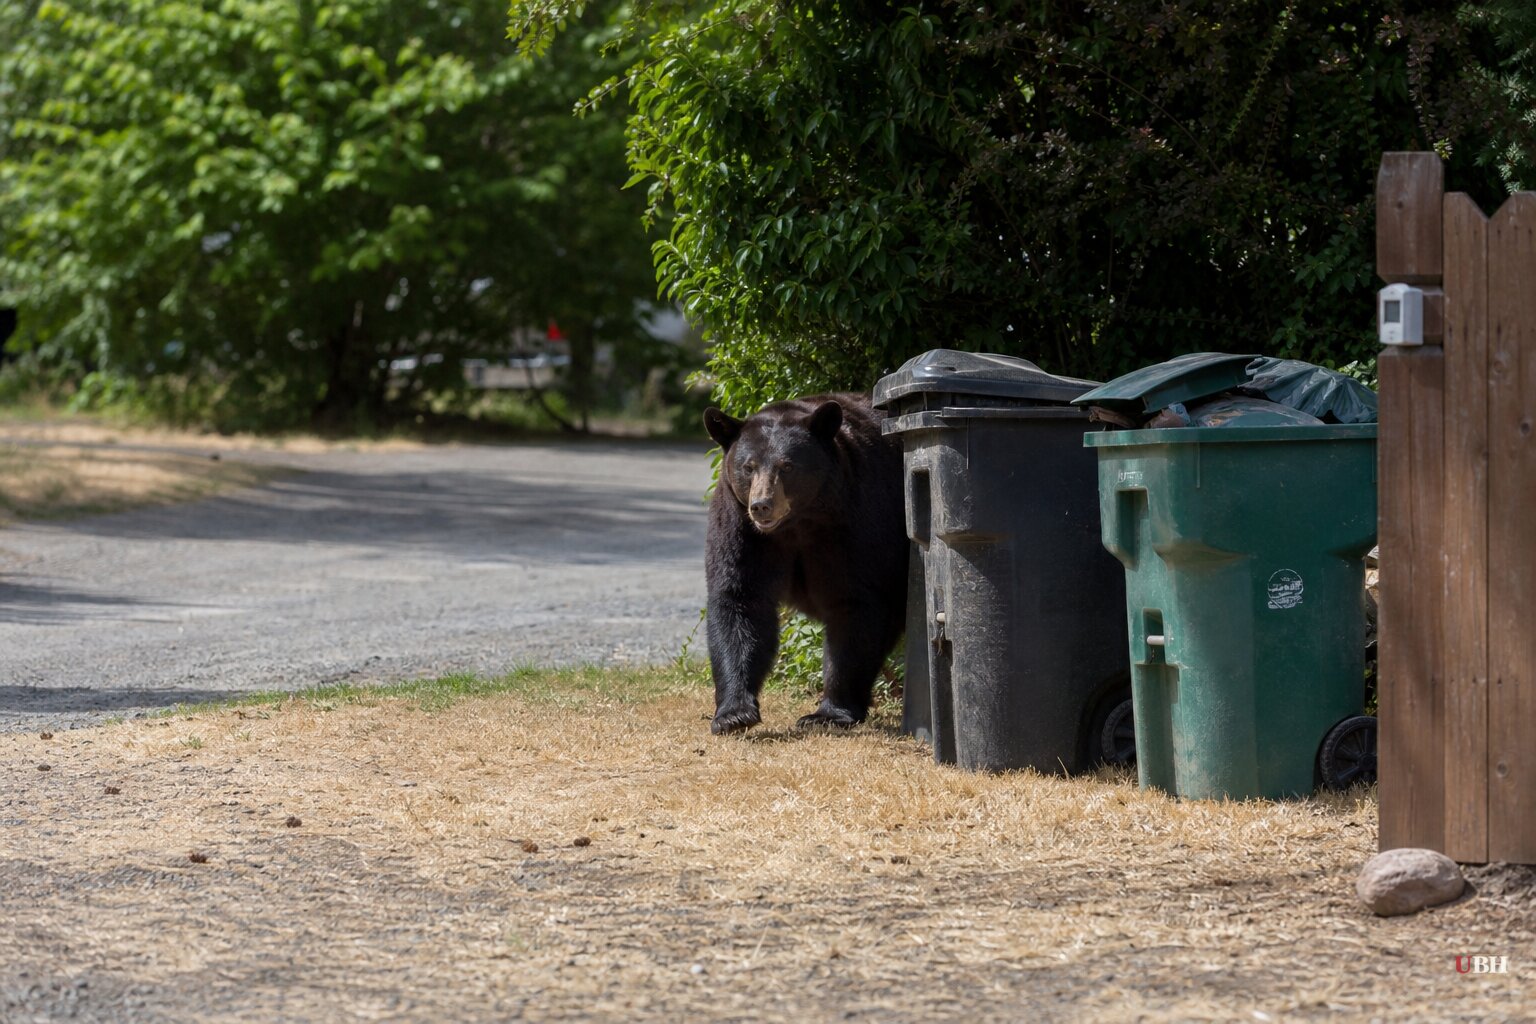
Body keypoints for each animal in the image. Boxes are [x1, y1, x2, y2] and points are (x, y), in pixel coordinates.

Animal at [702, 393, 908, 734]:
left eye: (787, 466)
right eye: (748, 467)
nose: (762, 505)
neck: (797, 523)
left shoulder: (858, 521)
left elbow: (854, 604)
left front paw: (829, 713)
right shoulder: (742, 529)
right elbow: (740, 601)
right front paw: (733, 713)